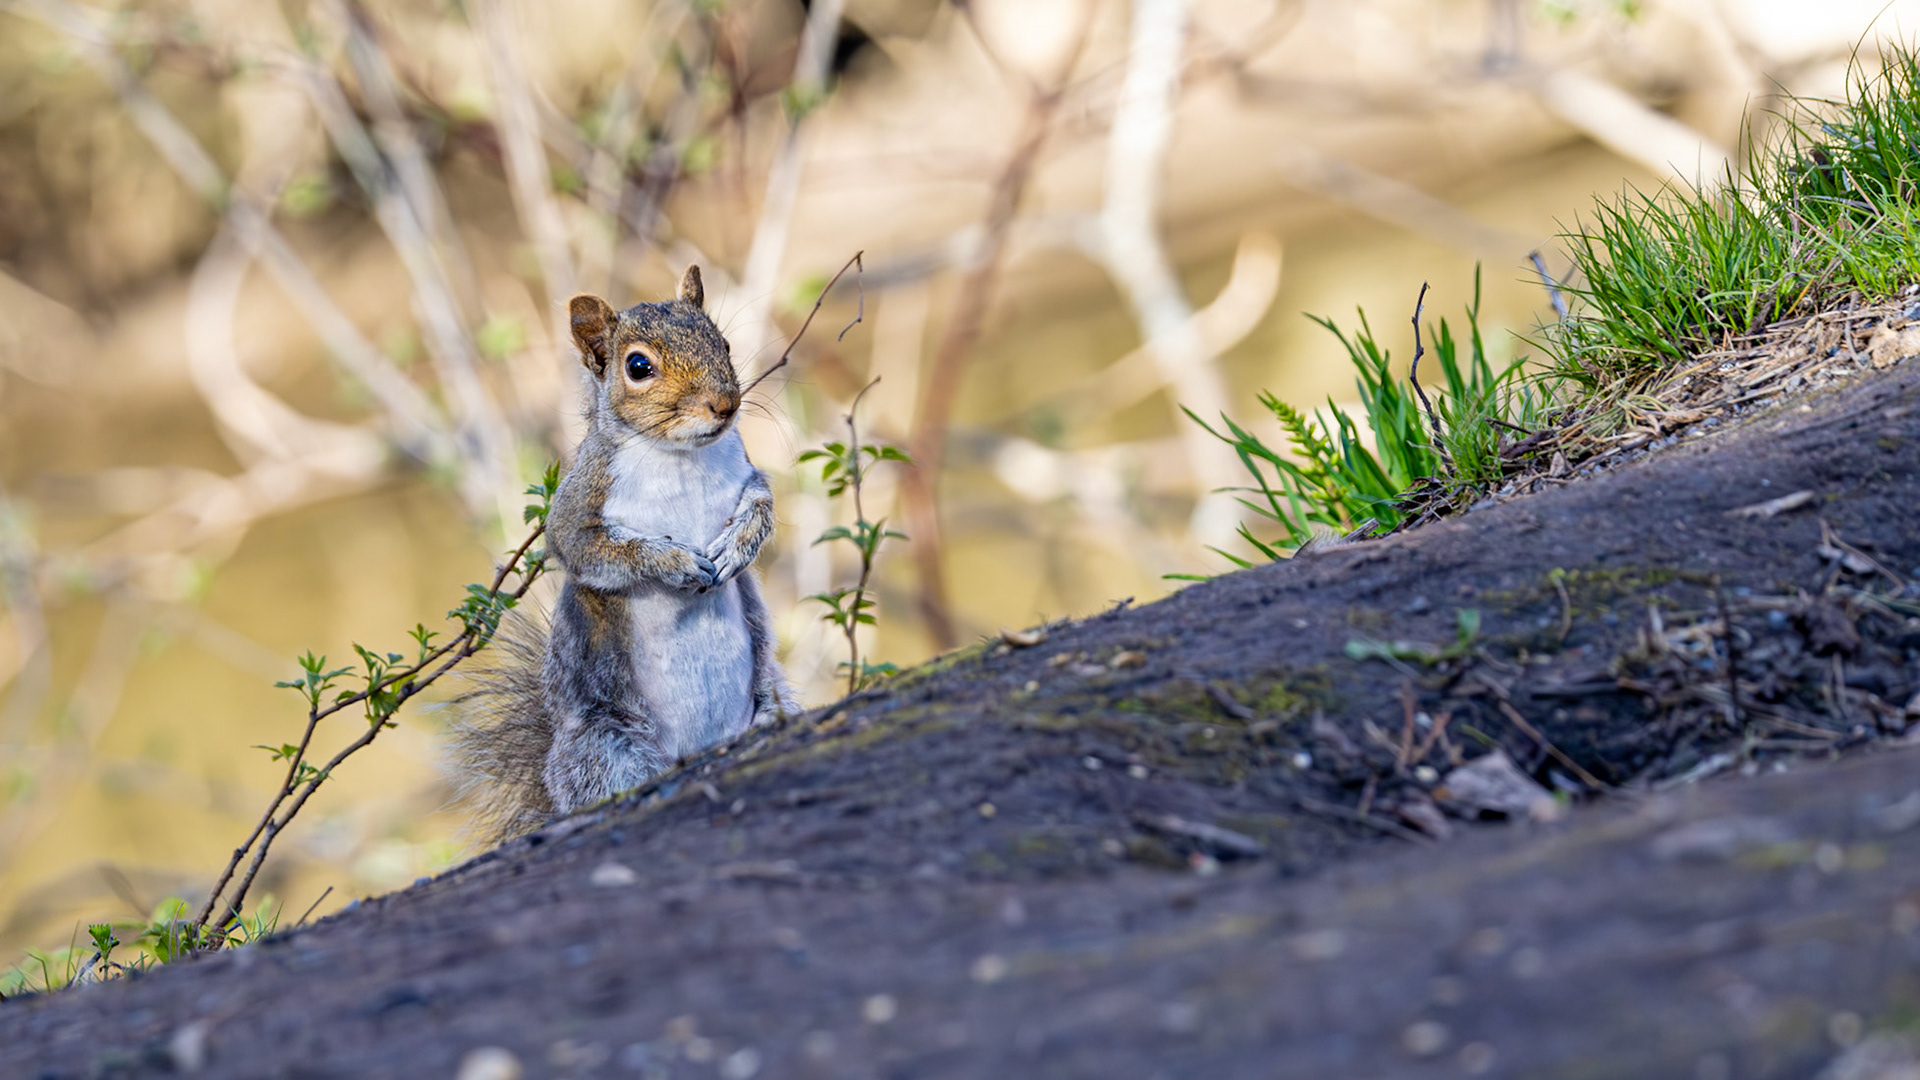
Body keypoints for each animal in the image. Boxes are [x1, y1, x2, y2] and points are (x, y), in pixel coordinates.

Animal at [448, 265, 796, 842]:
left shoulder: (748, 474)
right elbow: (602, 550)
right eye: (638, 367)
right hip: (608, 751)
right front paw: (675, 563)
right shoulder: (576, 513)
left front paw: (737, 548)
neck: (681, 456)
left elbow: (762, 505)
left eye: (723, 342)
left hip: (774, 692)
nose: (725, 404)